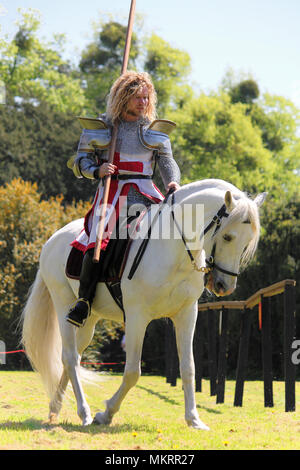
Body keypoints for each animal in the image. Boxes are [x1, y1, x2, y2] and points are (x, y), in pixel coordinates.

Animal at [20, 179, 264, 430]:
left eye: (247, 242)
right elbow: (132, 372)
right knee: (69, 357)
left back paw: (55, 407)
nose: (224, 285)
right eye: (227, 237)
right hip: (64, 306)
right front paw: (105, 414)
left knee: (74, 358)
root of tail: (52, 240)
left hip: (90, 320)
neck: (172, 248)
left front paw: (194, 419)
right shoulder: (137, 317)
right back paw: (85, 413)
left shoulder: (186, 314)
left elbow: (188, 368)